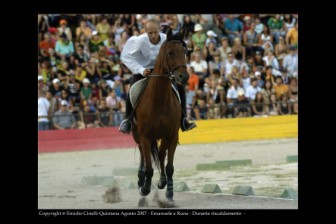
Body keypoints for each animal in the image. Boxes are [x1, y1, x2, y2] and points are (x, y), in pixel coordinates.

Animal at [131, 28, 189, 201]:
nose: (183, 77)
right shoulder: (145, 136)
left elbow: (169, 166)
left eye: (184, 52)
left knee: (162, 154)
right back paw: (141, 179)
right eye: (170, 53)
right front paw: (145, 188)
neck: (160, 100)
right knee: (143, 154)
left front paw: (169, 190)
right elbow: (149, 165)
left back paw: (162, 181)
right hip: (137, 135)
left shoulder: (172, 136)